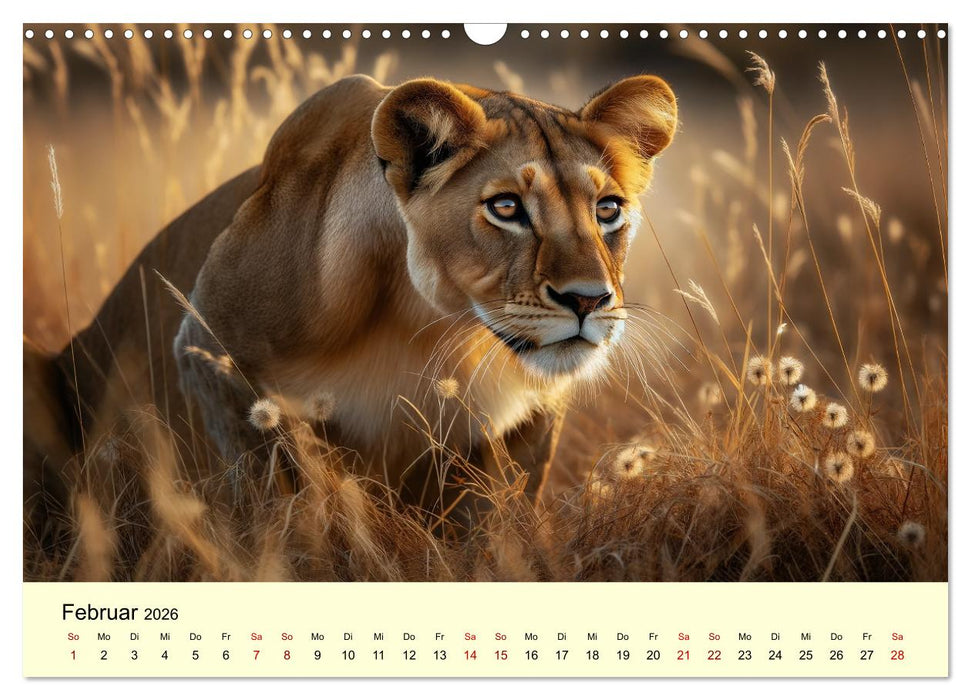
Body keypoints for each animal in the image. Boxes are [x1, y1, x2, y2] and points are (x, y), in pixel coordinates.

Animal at [25, 73, 677, 536]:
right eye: (507, 207)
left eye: (608, 209)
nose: (588, 300)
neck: (433, 327)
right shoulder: (206, 351)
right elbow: (271, 503)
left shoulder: (531, 416)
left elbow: (492, 526)